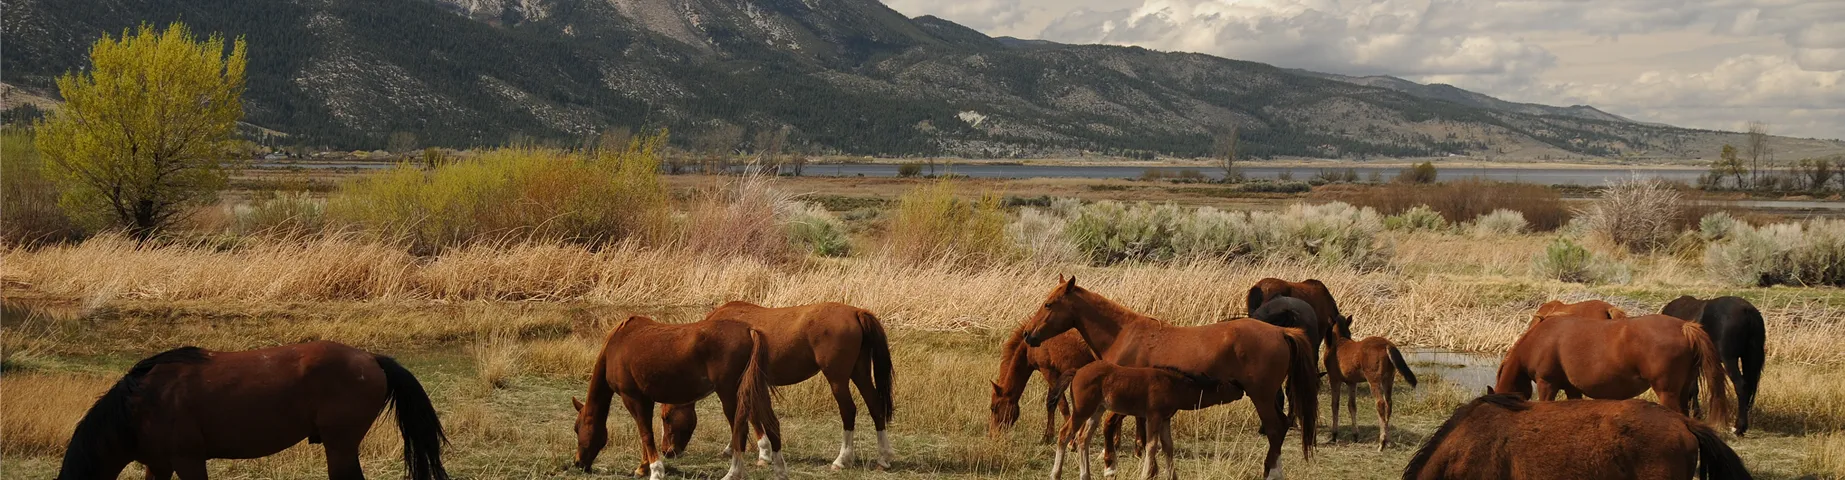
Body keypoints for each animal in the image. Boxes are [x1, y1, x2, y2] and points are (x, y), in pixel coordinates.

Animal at [571, 316, 785, 480]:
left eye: (577, 428)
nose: (577, 463)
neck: (618, 343)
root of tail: (749, 331)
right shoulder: (645, 399)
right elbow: (646, 434)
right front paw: (643, 467)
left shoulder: (632, 398)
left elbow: (646, 434)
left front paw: (655, 471)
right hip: (758, 391)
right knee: (772, 424)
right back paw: (780, 470)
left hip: (730, 395)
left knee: (739, 431)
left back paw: (732, 474)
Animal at [659, 301, 895, 470]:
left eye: (666, 417)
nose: (667, 451)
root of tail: (856, 312)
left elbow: (745, 415)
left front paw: (762, 453)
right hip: (860, 373)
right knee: (875, 406)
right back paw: (883, 458)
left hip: (837, 379)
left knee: (849, 411)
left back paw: (842, 460)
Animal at [1049, 364, 1240, 480]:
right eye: (1228, 385)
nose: (1241, 389)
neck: (1173, 384)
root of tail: (1077, 371)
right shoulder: (1153, 416)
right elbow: (1152, 445)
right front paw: (1146, 474)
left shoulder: (1165, 419)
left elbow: (1168, 446)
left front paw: (1172, 476)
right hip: (1082, 411)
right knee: (1065, 434)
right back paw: (1055, 474)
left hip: (1097, 411)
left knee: (1083, 438)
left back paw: (1085, 475)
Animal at [1493, 314, 1732, 428]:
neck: (1539, 339)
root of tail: (1684, 327)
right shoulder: (1572, 389)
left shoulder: (1547, 383)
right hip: (1682, 391)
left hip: (1667, 392)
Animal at [1661, 295, 1766, 436]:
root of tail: (1747, 311)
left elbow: (1693, 388)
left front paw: (1696, 414)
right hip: (1749, 357)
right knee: (1749, 386)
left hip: (1729, 359)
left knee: (1741, 385)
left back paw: (1738, 427)